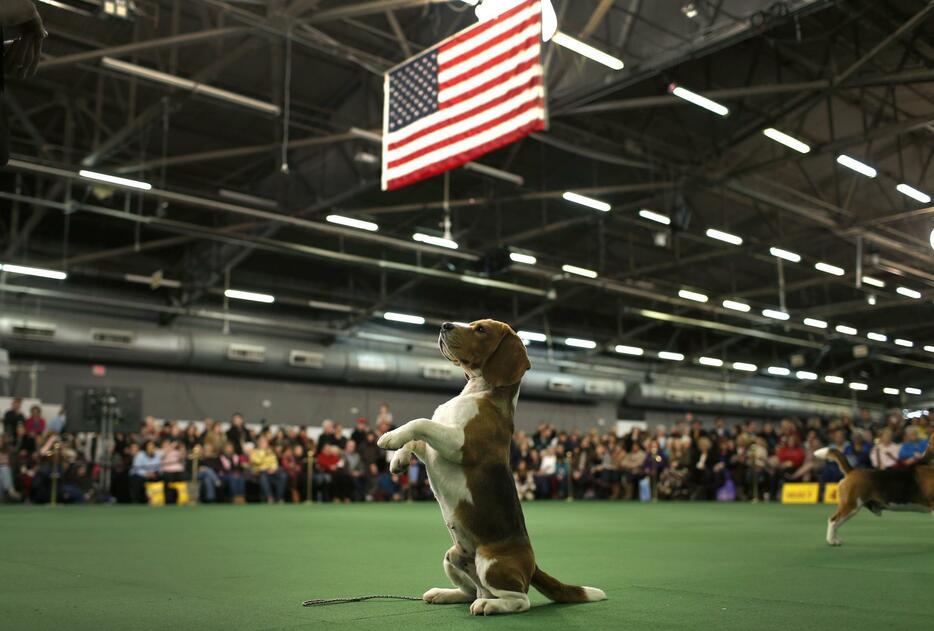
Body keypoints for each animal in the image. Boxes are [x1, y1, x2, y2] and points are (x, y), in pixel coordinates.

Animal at [378, 320, 608, 616]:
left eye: (481, 330)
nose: (444, 325)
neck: (479, 390)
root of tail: (533, 567)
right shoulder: (436, 448)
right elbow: (418, 438)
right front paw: (399, 458)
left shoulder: (459, 443)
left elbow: (421, 423)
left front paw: (390, 437)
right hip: (452, 556)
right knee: (470, 591)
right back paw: (444, 593)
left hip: (490, 563)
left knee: (519, 600)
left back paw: (488, 605)